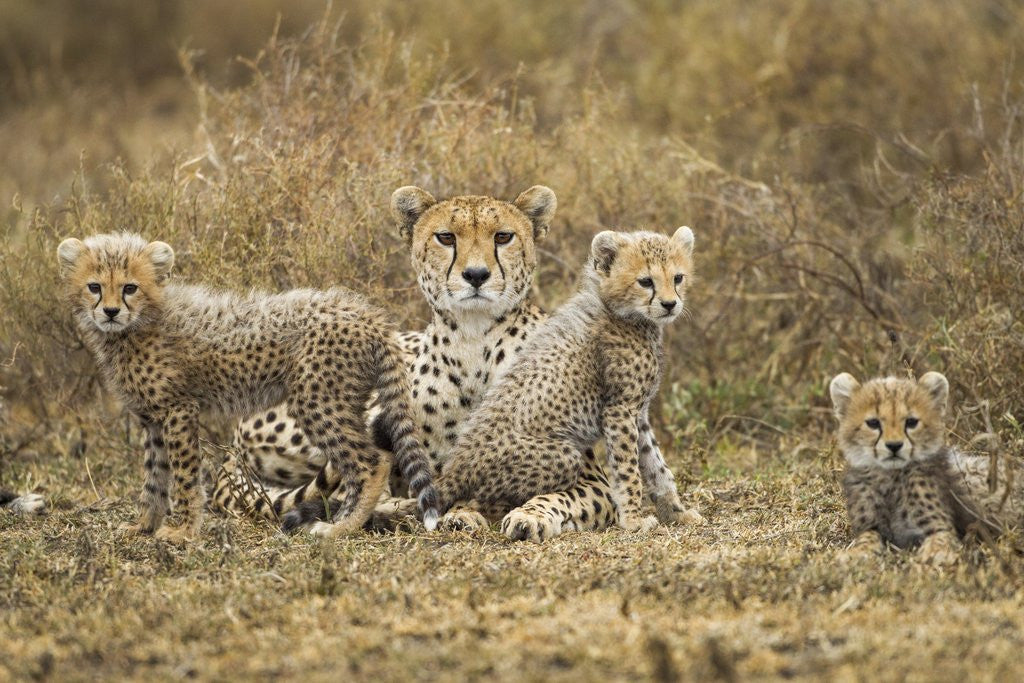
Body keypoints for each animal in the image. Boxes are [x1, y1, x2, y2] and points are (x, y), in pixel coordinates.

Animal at [57, 232, 439, 542]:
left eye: (129, 287)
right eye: (94, 286)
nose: (110, 311)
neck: (138, 324)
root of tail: (364, 313)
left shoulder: (179, 409)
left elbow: (183, 475)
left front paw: (182, 531)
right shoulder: (154, 420)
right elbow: (155, 478)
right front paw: (143, 526)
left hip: (317, 400)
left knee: (373, 461)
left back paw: (341, 528)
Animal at [830, 371, 1022, 565]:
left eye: (911, 422)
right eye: (873, 423)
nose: (894, 446)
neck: (890, 477)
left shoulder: (942, 528)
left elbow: (940, 540)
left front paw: (936, 553)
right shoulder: (871, 527)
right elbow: (866, 538)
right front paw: (856, 553)